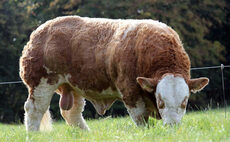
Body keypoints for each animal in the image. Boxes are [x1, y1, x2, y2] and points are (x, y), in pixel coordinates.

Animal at [19, 15, 209, 131]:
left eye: (184, 102)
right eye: (161, 102)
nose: (172, 126)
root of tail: (41, 30)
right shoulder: (130, 92)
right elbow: (141, 119)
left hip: (72, 86)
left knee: (72, 113)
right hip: (41, 82)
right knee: (34, 109)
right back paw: (34, 134)